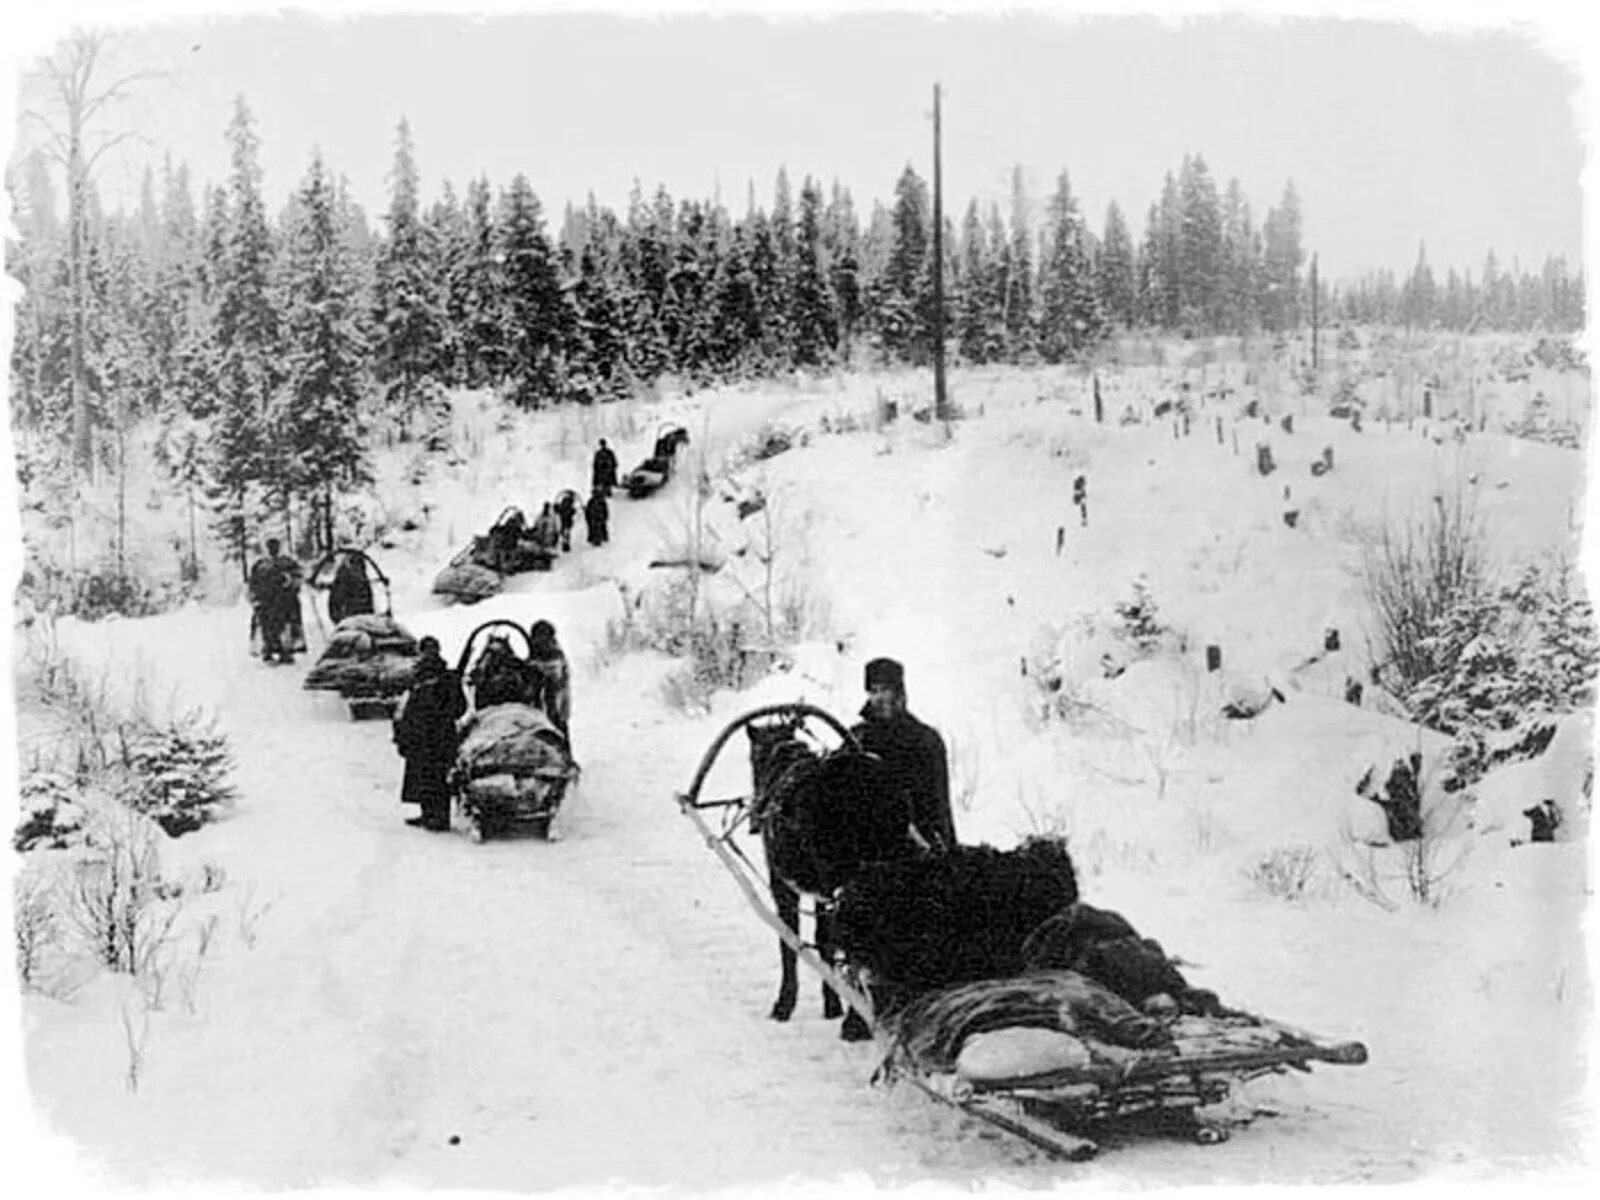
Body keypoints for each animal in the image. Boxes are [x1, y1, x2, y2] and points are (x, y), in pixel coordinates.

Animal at [742, 713, 921, 1043]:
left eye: (754, 757)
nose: (755, 815)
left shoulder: (783, 884)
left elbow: (790, 941)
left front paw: (785, 1003)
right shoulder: (821, 891)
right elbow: (824, 941)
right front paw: (833, 1001)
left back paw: (856, 1023)